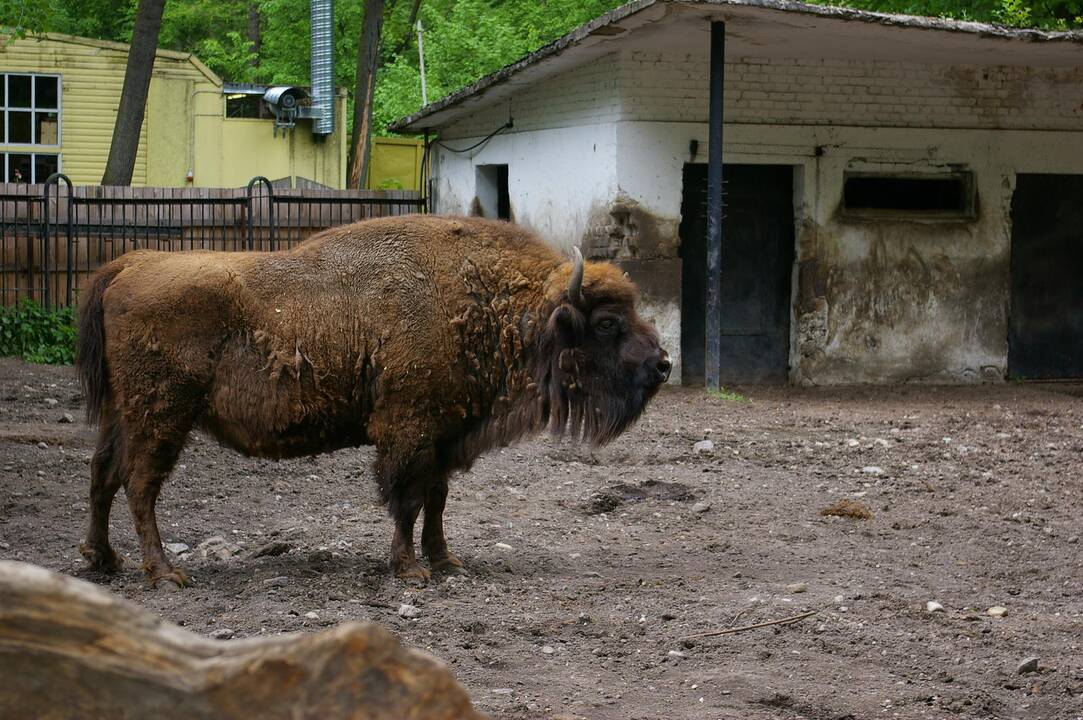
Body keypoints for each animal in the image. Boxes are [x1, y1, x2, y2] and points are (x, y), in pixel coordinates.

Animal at [76, 213, 667, 584]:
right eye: (607, 322)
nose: (662, 365)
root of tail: (130, 264)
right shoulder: (408, 430)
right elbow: (406, 498)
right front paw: (410, 570)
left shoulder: (444, 436)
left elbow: (436, 498)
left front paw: (445, 561)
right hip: (161, 418)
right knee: (140, 486)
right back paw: (164, 574)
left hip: (122, 416)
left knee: (103, 474)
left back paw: (103, 560)